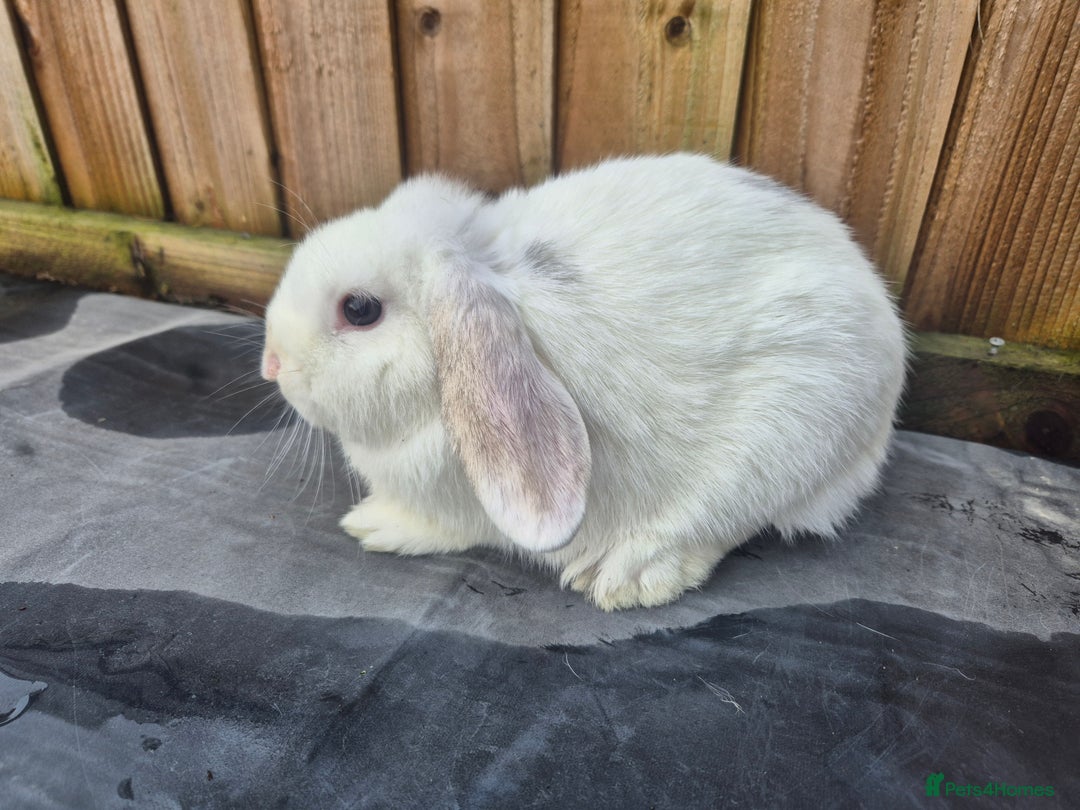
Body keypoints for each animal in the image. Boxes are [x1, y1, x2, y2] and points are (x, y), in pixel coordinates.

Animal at [260, 153, 906, 611]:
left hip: (785, 432)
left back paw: (625, 574)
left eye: (360, 309)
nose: (271, 363)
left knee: (723, 523)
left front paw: (375, 526)